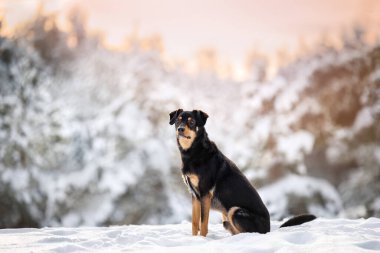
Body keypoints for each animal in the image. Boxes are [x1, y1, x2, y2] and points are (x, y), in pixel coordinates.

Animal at [170, 109, 318, 237]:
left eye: (192, 122)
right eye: (178, 120)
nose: (180, 129)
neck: (194, 152)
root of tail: (269, 229)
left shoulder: (205, 194)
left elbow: (203, 224)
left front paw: (203, 239)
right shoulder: (195, 196)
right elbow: (195, 223)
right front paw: (195, 239)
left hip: (235, 211)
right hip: (226, 219)